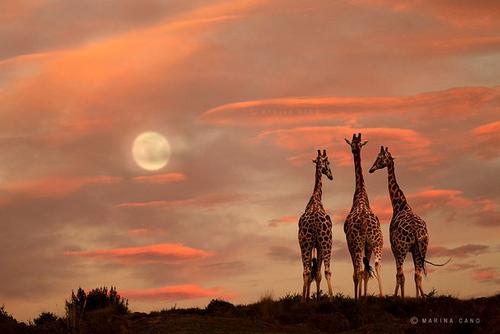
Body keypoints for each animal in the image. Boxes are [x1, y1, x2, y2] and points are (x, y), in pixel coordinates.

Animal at [368, 146, 454, 298]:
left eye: (379, 158)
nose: (371, 169)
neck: (400, 205)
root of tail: (415, 230)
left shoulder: (394, 247)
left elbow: (399, 275)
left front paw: (397, 297)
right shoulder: (414, 249)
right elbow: (415, 275)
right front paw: (417, 297)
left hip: (402, 249)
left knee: (401, 274)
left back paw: (402, 298)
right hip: (423, 248)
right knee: (417, 274)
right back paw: (422, 299)